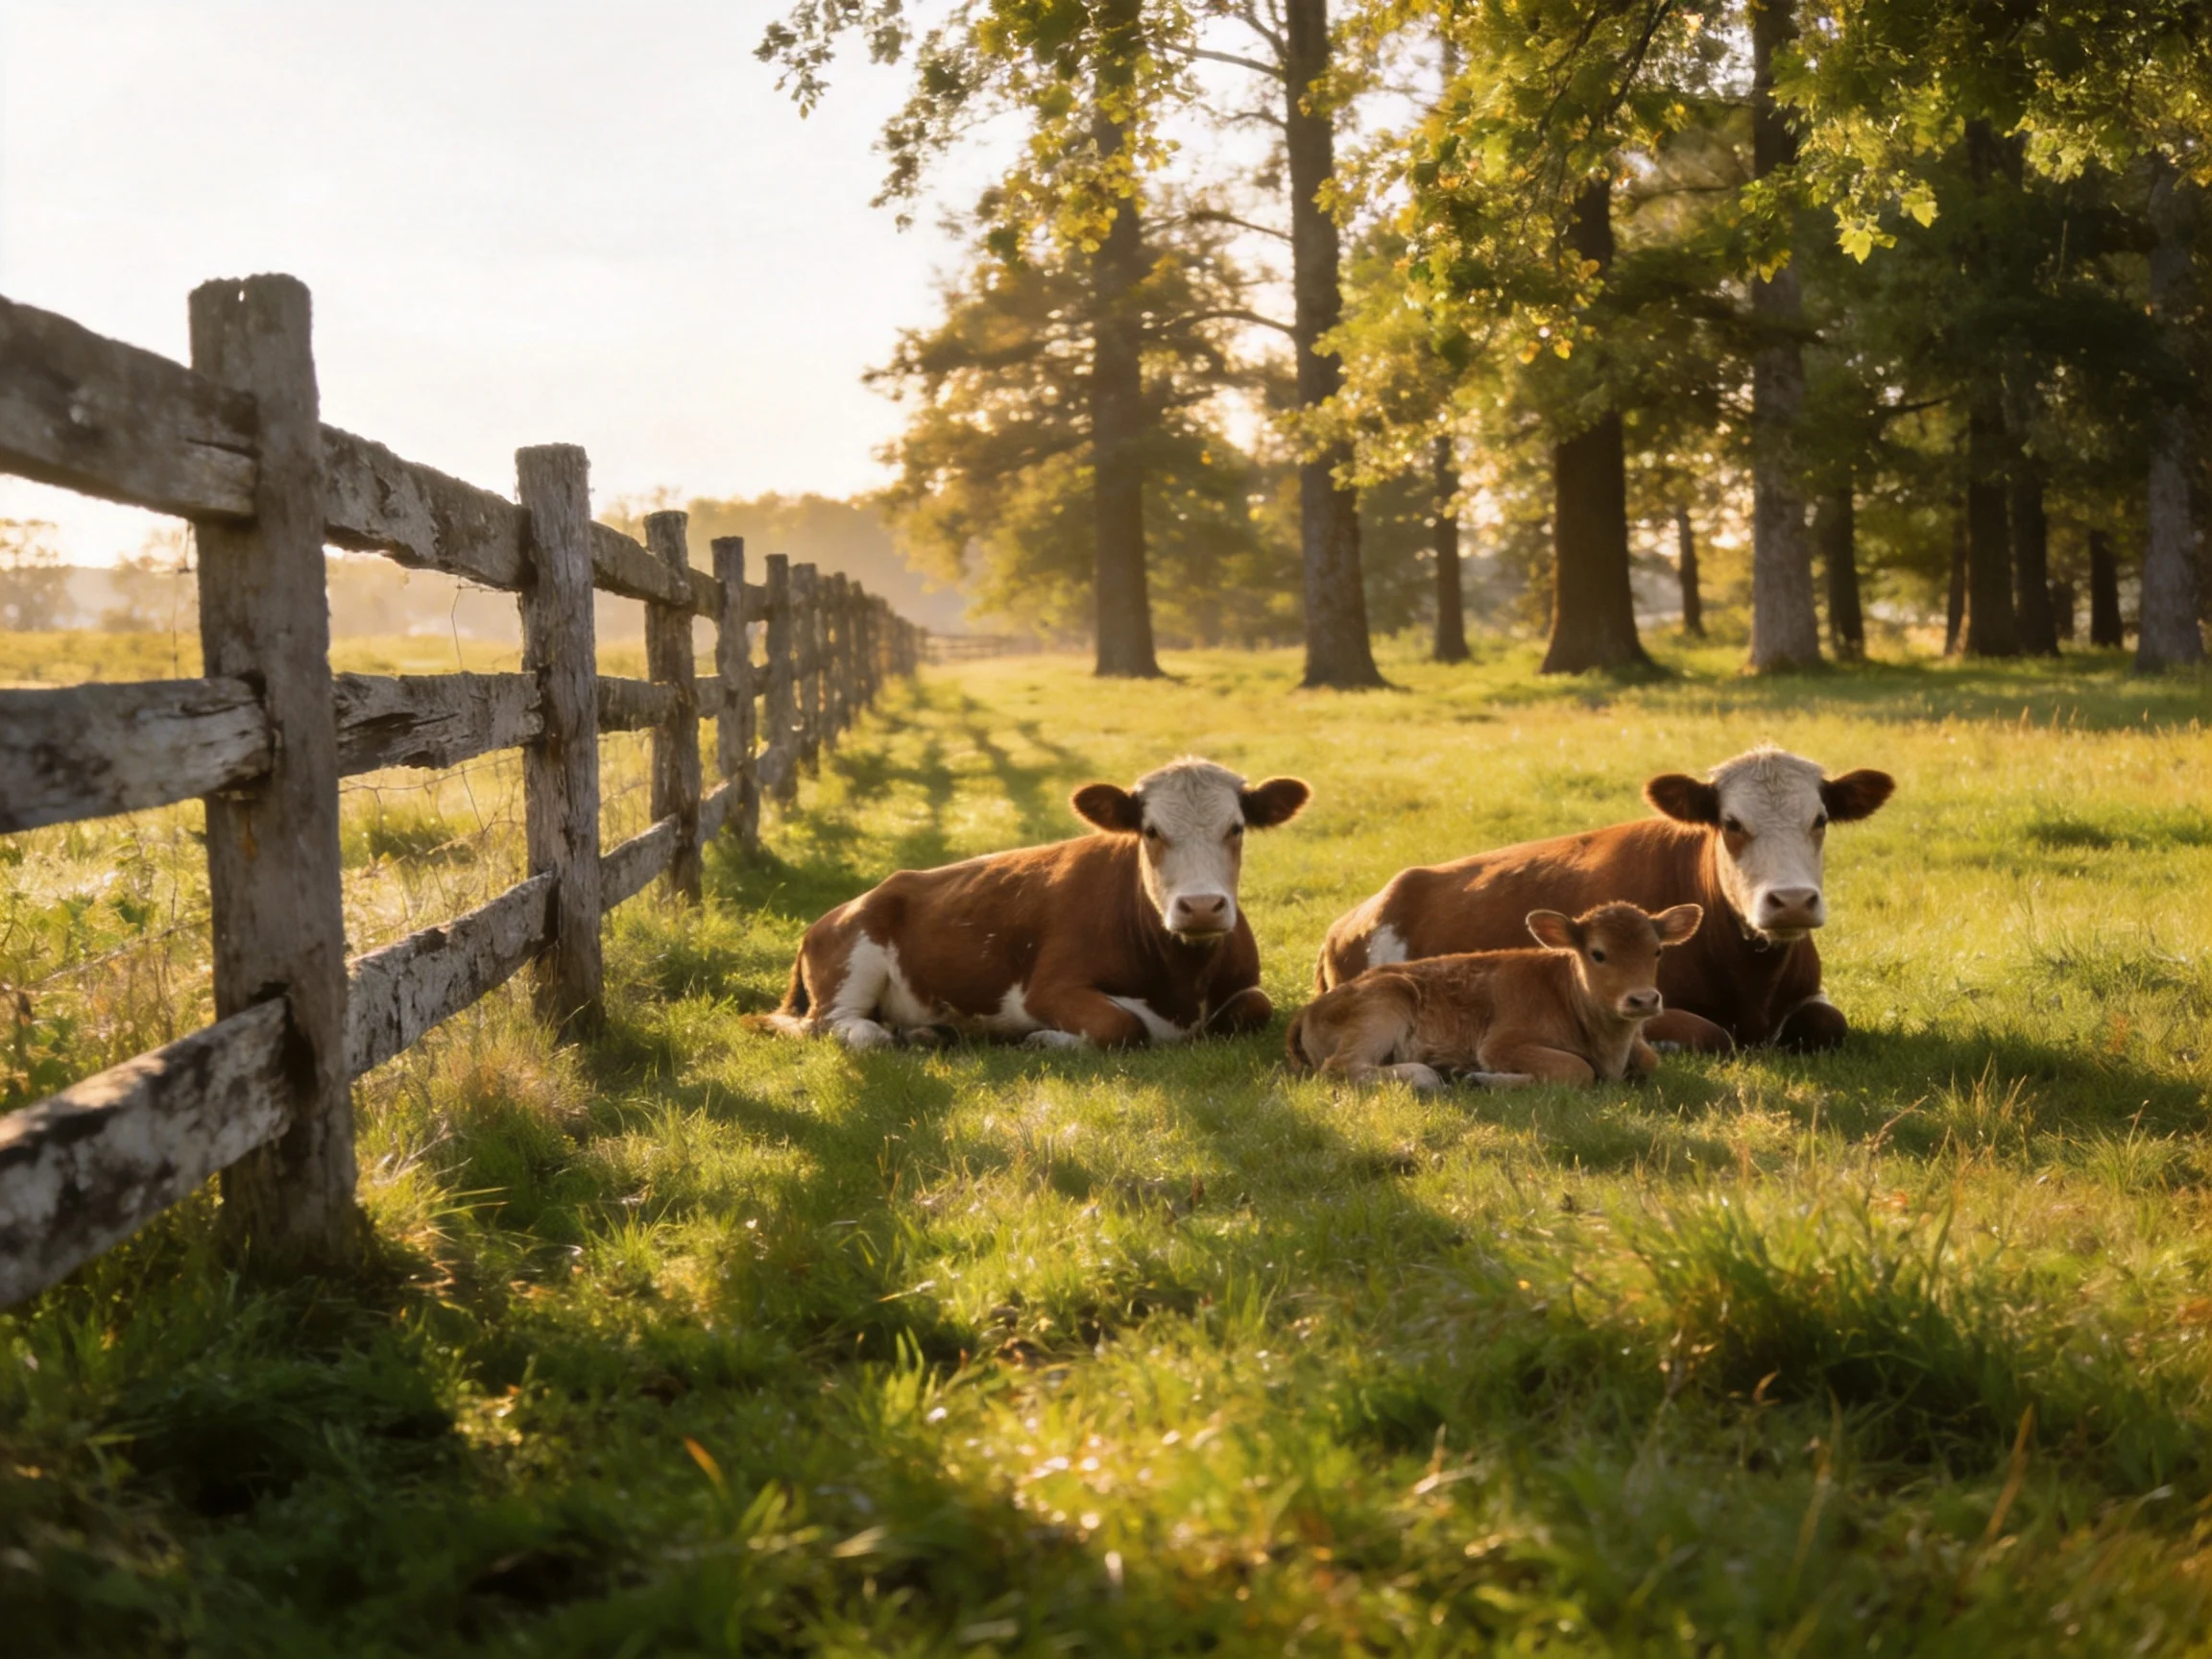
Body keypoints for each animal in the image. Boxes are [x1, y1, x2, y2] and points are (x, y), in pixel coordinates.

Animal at [758, 757, 1311, 1051]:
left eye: (1236, 828)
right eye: (1151, 831)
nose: (1199, 906)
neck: (1183, 982)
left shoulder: (1245, 990)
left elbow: (1256, 1006)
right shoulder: (1045, 988)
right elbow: (1120, 1024)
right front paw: (1047, 1039)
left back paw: (930, 1032)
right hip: (854, 955)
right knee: (838, 1026)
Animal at [1287, 901, 1704, 1088]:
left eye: (1657, 951)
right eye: (1597, 953)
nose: (1644, 1000)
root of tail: (1309, 1009)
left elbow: (1649, 1060)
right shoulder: (1502, 1044)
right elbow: (1576, 1070)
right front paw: (1480, 1077)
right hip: (1387, 999)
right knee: (1341, 1067)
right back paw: (1429, 1075)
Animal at [1313, 746, 1895, 1052]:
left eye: (1820, 819)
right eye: (1732, 824)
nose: (1791, 900)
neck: (1753, 982)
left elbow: (1829, 1023)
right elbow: (1709, 1034)